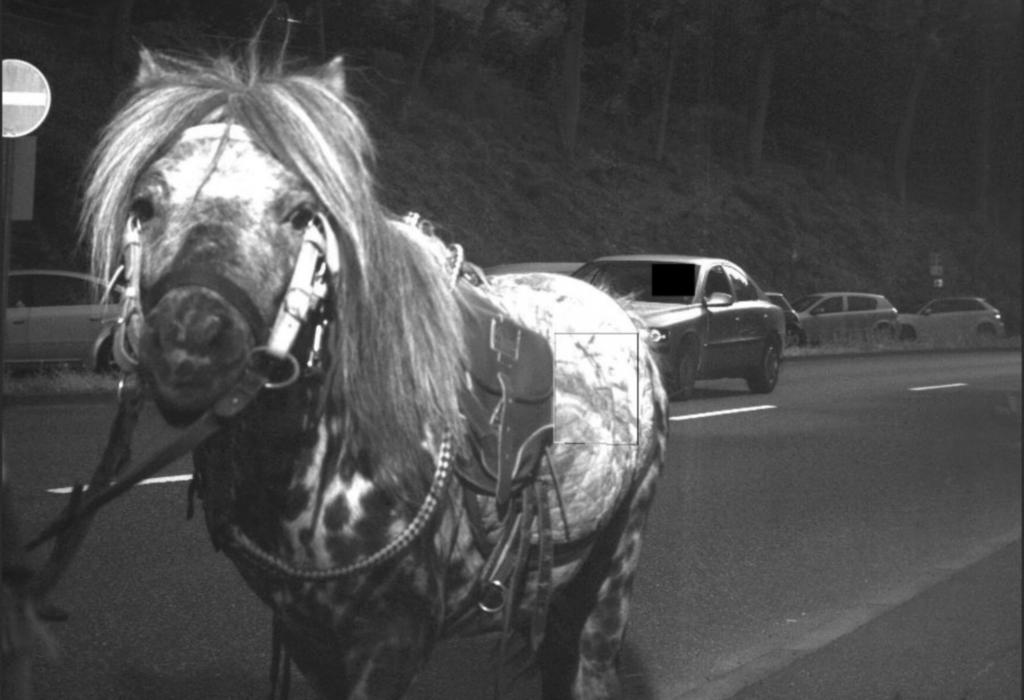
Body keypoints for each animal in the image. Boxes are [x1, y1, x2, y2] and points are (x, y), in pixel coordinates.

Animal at [78, 46, 669, 699]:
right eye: (145, 204)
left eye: (301, 213)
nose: (190, 343)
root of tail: (621, 309)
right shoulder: (306, 631)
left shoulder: (392, 638)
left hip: (614, 568)